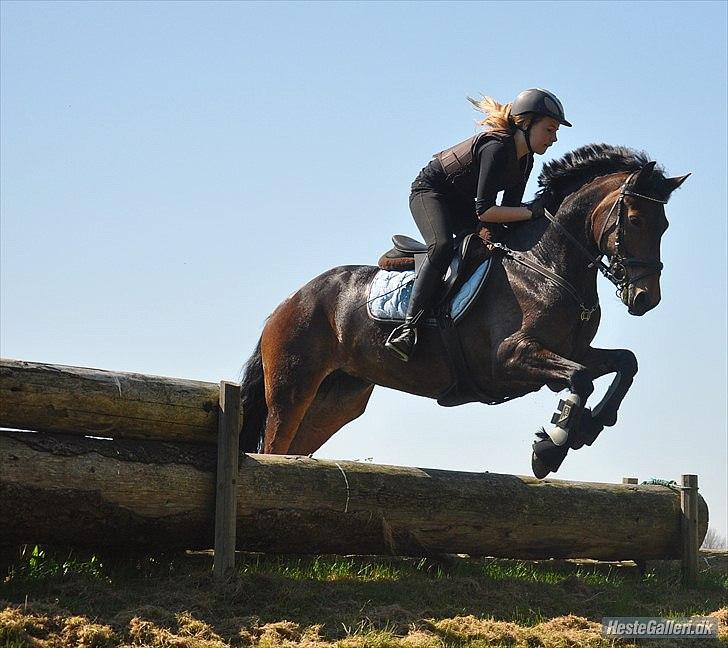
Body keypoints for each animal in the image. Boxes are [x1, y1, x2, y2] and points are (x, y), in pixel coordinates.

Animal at [237, 144, 688, 476]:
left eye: (665, 225)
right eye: (634, 220)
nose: (645, 298)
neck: (546, 266)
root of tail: (288, 303)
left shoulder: (571, 351)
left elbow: (625, 363)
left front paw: (588, 427)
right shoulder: (509, 358)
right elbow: (580, 379)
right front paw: (551, 447)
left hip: (336, 400)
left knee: (293, 450)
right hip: (292, 389)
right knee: (274, 448)